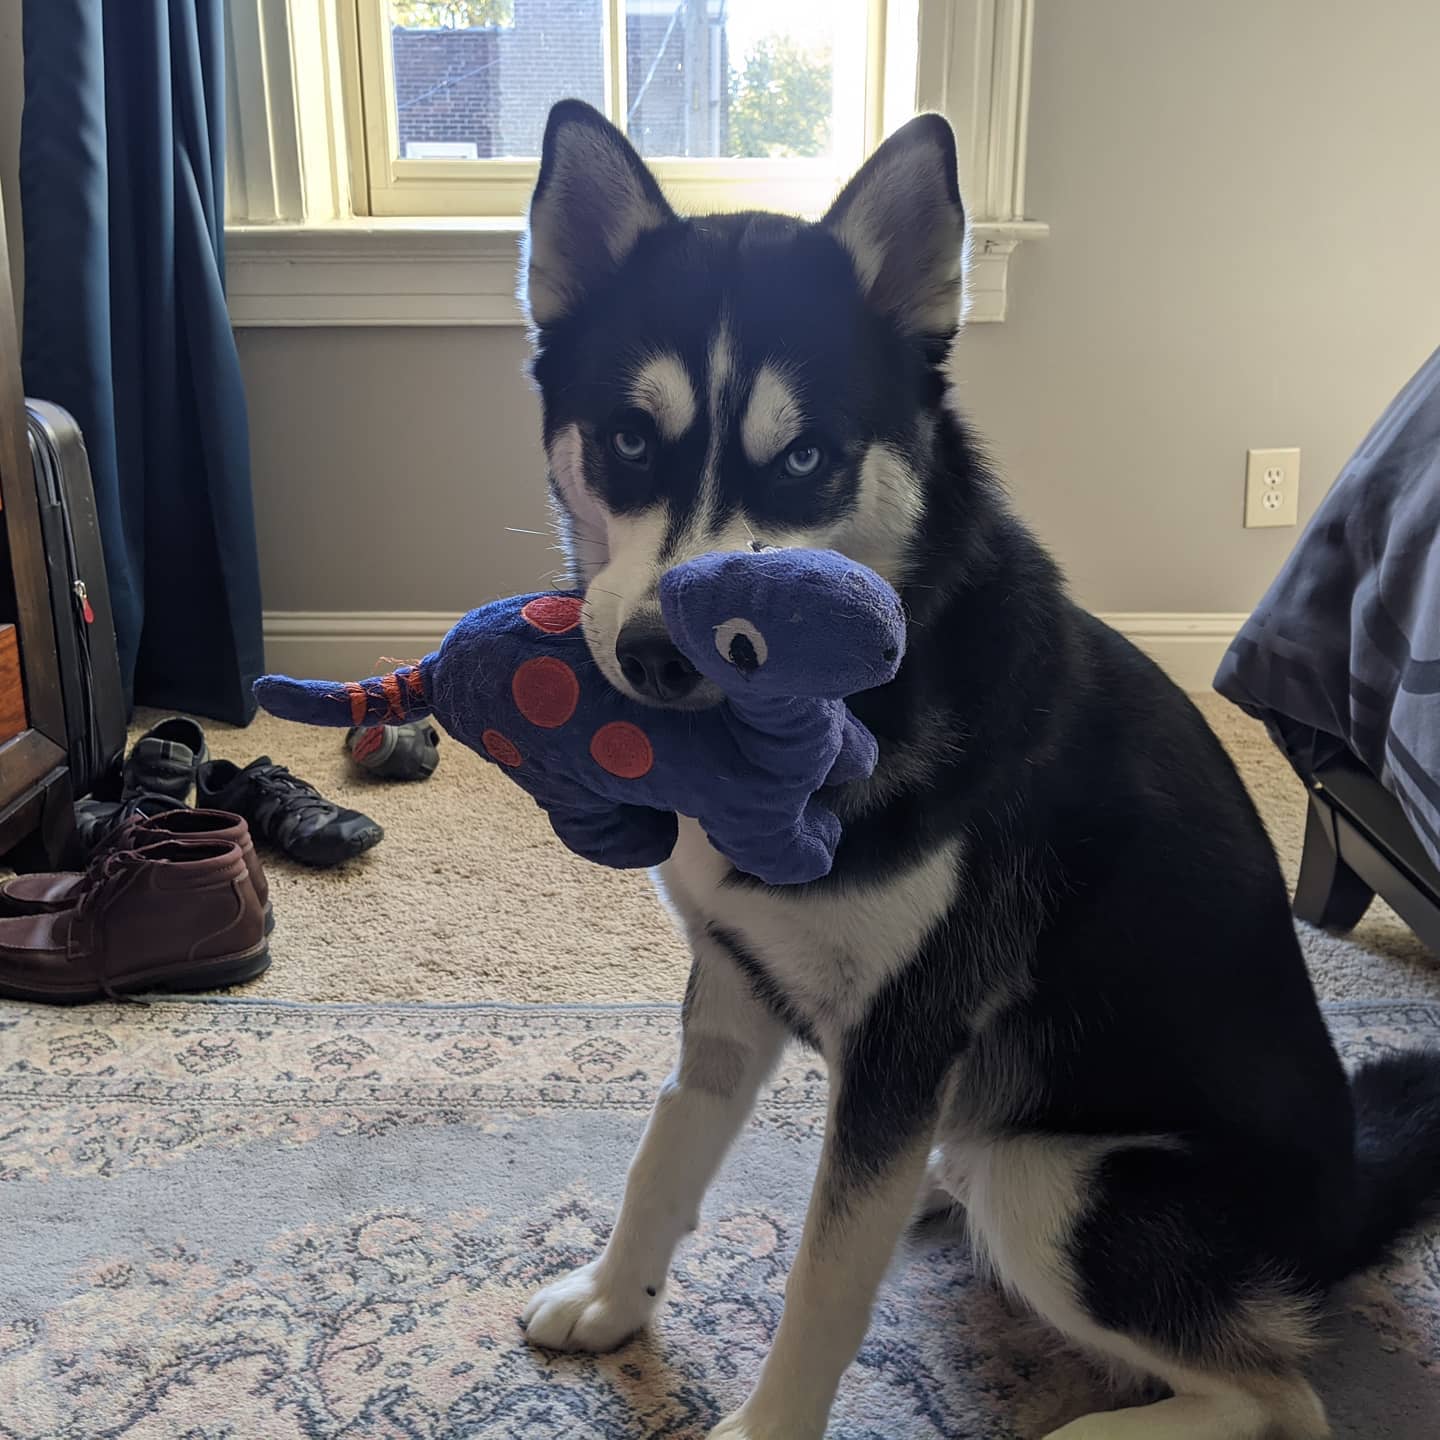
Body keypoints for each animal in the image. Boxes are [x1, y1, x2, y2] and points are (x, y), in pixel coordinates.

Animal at [512, 101, 1434, 1440]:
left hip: (1060, 1184)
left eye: (807, 463)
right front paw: (611, 1298)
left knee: (1283, 1400)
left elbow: (825, 1277)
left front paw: (770, 1422)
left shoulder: (907, 1036)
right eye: (631, 439)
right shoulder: (732, 982)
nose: (660, 658)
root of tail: (1353, 1196)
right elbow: (666, 1149)